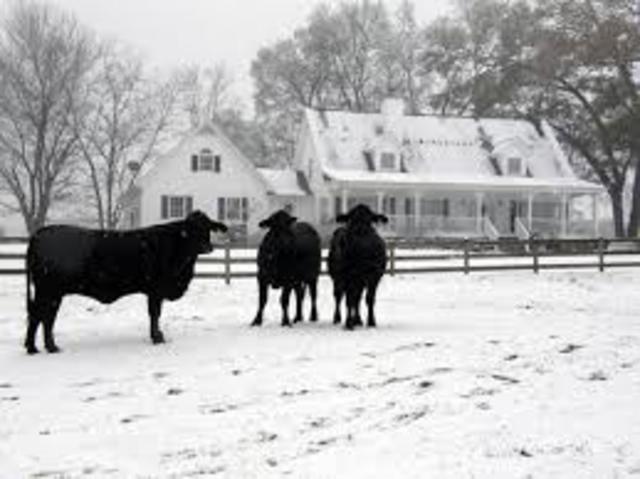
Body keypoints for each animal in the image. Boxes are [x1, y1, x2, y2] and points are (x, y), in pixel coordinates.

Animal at [24, 210, 227, 354]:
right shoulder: (156, 289)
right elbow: (155, 314)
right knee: (42, 317)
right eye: (191, 229)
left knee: (41, 317)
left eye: (208, 227)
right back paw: (47, 347)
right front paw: (157, 338)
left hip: (50, 293)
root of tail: (39, 233)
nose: (207, 247)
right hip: (48, 292)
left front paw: (157, 336)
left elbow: (154, 314)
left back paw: (35, 347)